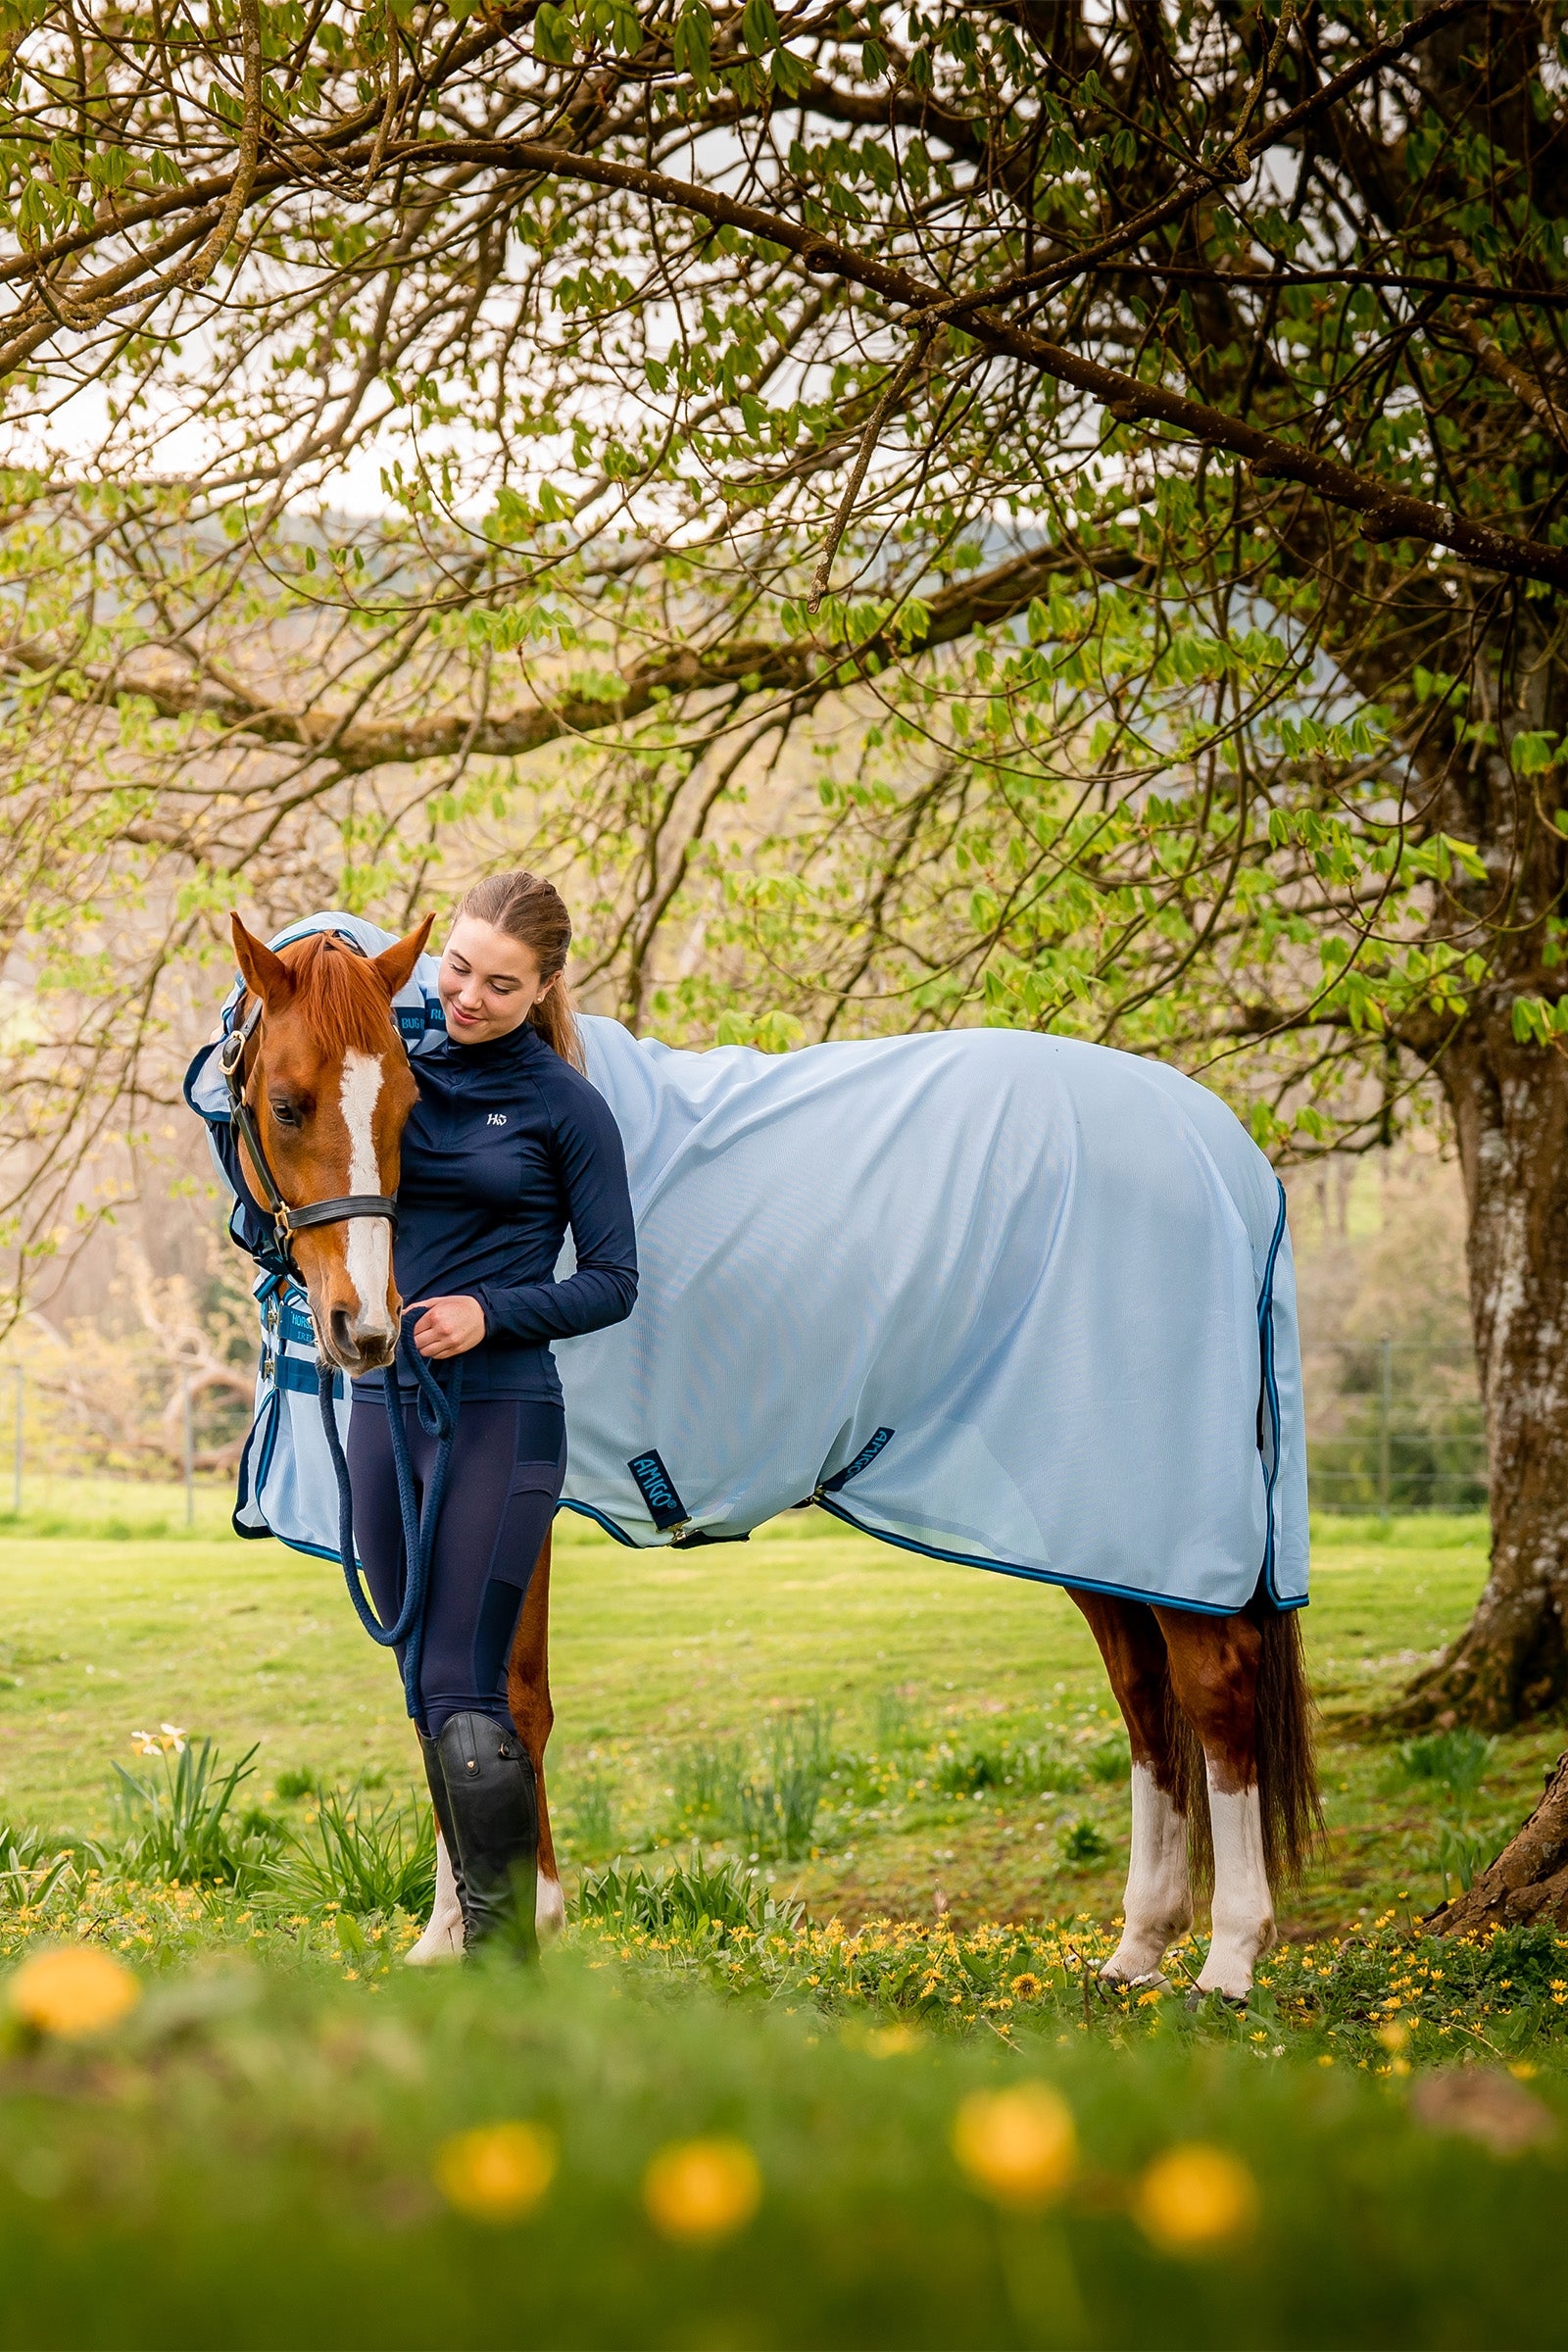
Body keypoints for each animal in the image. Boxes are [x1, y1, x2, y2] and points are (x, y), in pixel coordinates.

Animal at [225, 911, 1317, 1998]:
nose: (368, 1329)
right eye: (288, 1106)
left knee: (1213, 1688)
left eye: (405, 1110)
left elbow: (505, 1698)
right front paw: (449, 1935)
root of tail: (1229, 1156)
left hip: (1164, 1513)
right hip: (1091, 1523)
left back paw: (1229, 1957)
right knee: (1144, 1698)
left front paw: (520, 1923)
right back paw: (1138, 1946)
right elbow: (440, 1697)